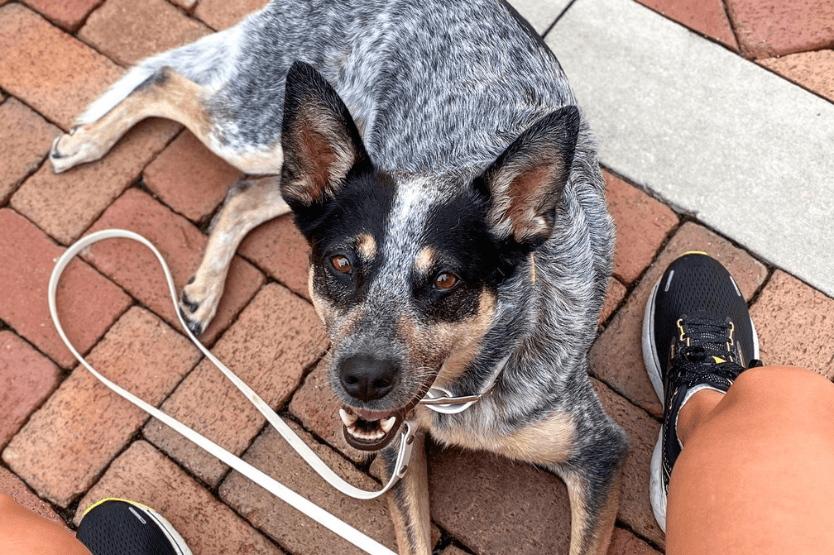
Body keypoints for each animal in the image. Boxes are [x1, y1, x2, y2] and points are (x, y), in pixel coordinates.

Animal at [50, 2, 624, 552]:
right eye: (341, 264)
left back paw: (201, 290)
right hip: (259, 133)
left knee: (240, 192)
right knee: (166, 81)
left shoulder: (600, 452)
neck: (465, 390)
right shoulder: (398, 449)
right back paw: (84, 145)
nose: (363, 379)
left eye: (446, 281)